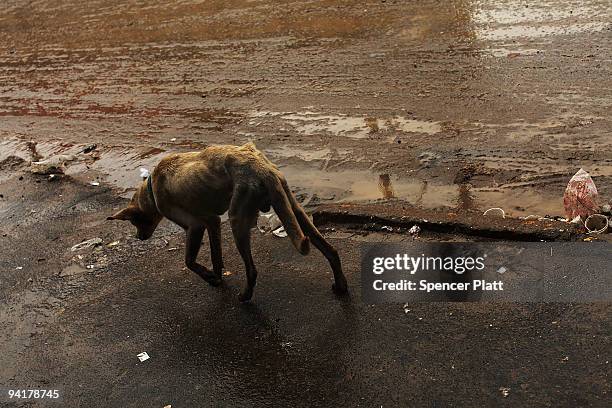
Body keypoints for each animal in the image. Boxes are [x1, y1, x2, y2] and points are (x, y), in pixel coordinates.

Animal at [109, 142, 350, 302]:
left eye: (134, 223)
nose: (139, 237)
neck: (151, 187)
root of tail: (260, 166)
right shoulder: (212, 222)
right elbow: (216, 257)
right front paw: (216, 277)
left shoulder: (195, 226)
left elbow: (189, 261)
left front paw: (208, 277)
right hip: (292, 208)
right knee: (331, 251)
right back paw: (341, 286)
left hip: (237, 221)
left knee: (252, 270)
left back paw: (245, 297)